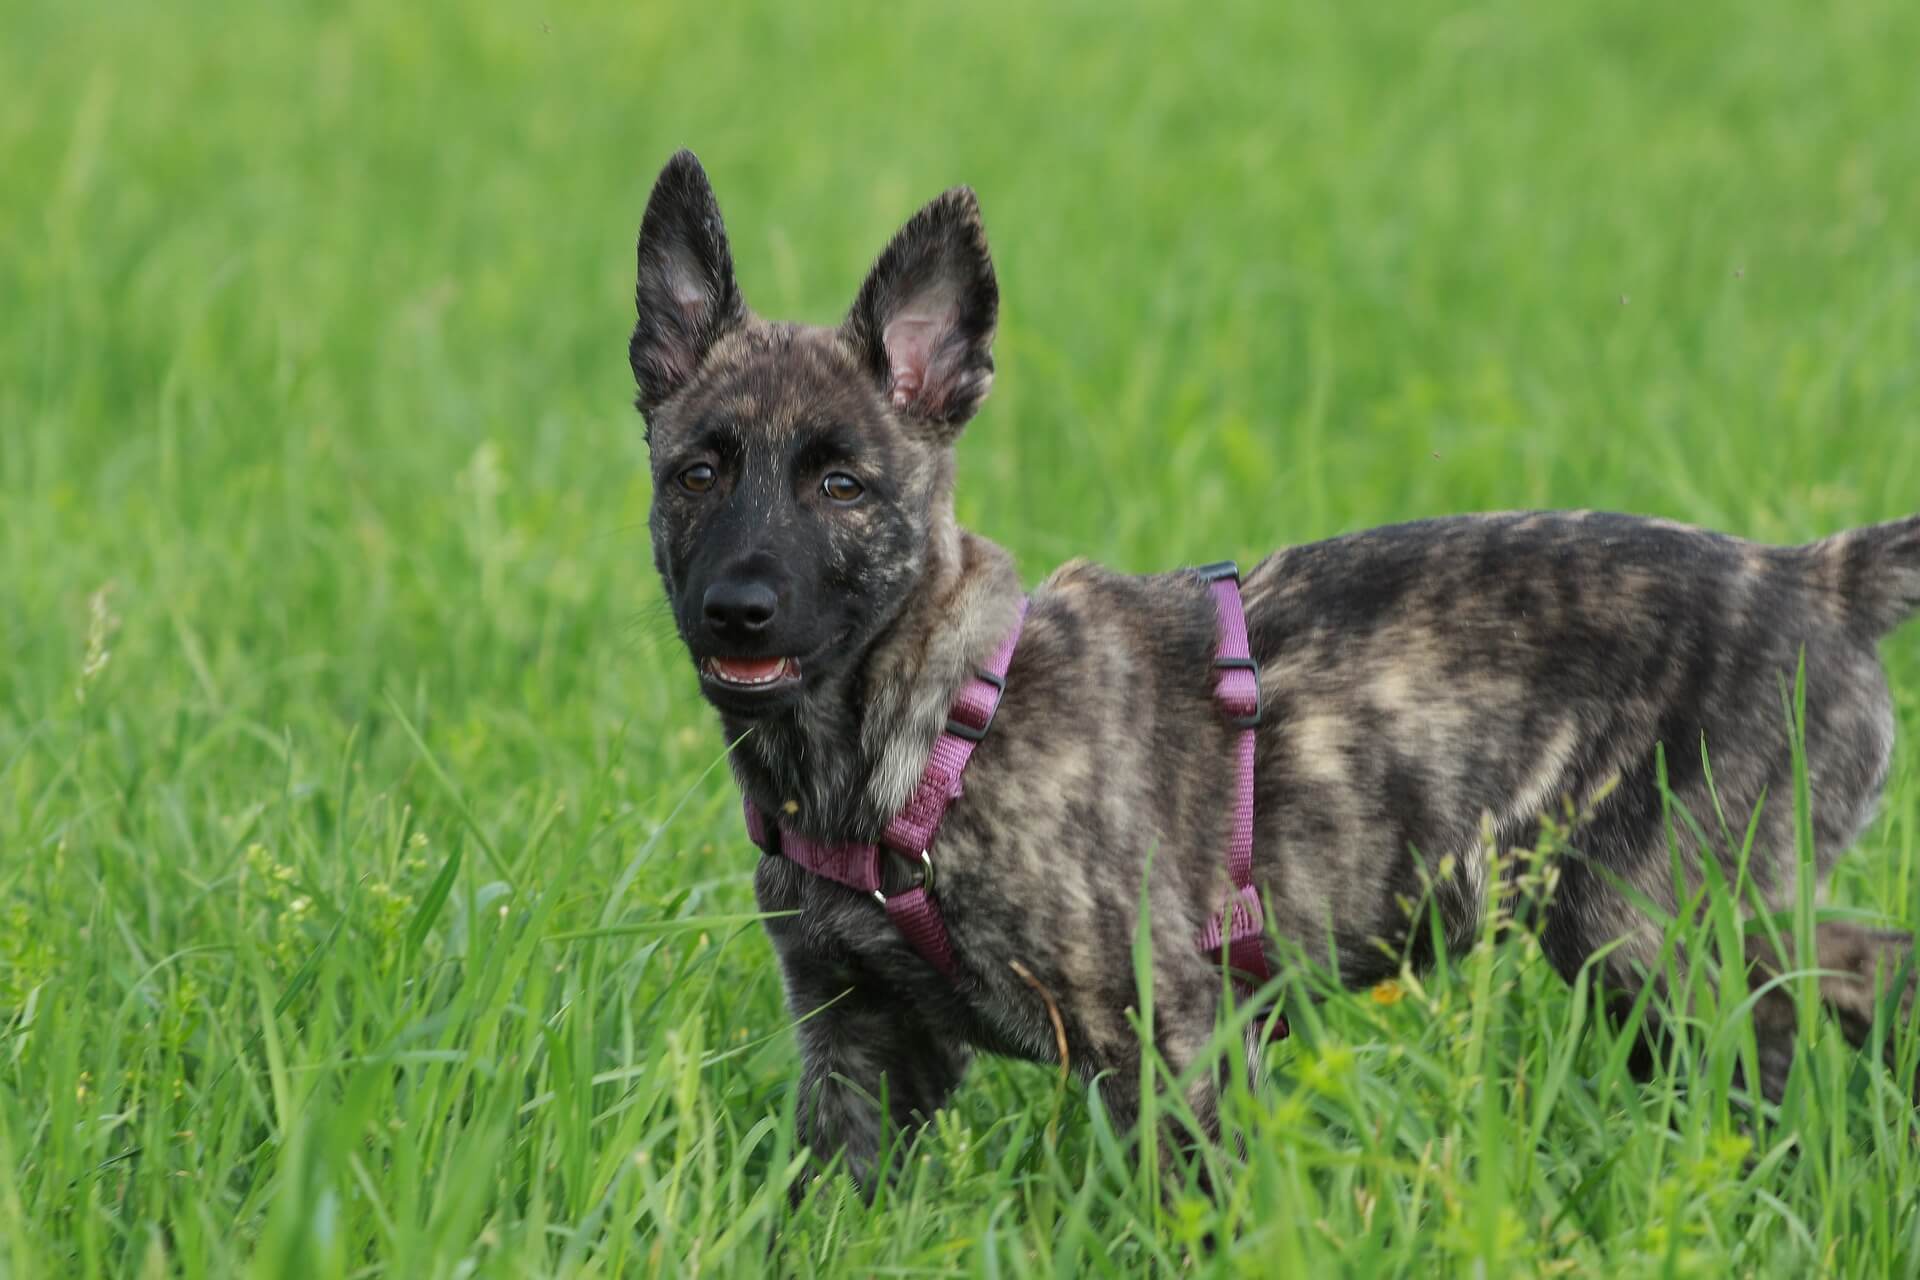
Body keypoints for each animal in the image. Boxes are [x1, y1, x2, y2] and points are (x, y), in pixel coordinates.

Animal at [633, 155, 1920, 1197]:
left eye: (841, 484)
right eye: (697, 473)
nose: (736, 608)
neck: (915, 734)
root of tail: (1816, 575)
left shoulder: (1169, 1030)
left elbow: (1196, 1209)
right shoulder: (856, 1046)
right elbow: (825, 1205)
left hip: (1657, 923)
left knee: (1813, 1013)